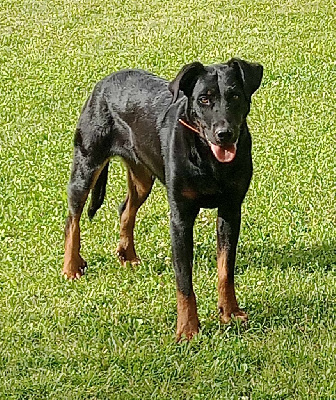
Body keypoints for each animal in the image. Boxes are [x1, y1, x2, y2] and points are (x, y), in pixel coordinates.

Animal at [62, 58, 262, 340]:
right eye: (204, 99)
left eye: (234, 96)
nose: (225, 133)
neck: (208, 159)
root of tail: (104, 81)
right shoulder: (180, 217)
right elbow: (184, 280)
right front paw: (188, 329)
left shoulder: (231, 210)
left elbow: (226, 269)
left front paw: (230, 312)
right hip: (87, 163)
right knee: (73, 218)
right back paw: (71, 267)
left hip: (142, 176)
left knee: (126, 209)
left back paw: (128, 255)